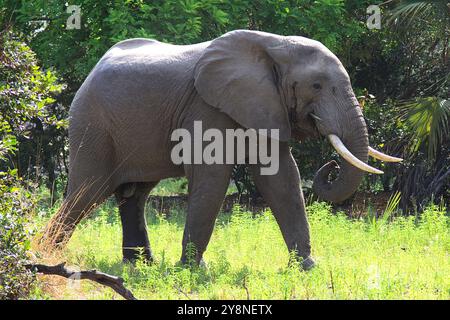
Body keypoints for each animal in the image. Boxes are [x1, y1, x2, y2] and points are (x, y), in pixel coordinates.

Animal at [42, 30, 400, 270]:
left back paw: (140, 266)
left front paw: (307, 268)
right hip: (92, 125)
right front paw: (194, 271)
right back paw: (47, 256)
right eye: (316, 86)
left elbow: (282, 177)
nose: (331, 166)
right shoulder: (206, 106)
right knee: (88, 191)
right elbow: (213, 176)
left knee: (134, 195)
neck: (274, 46)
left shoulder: (264, 104)